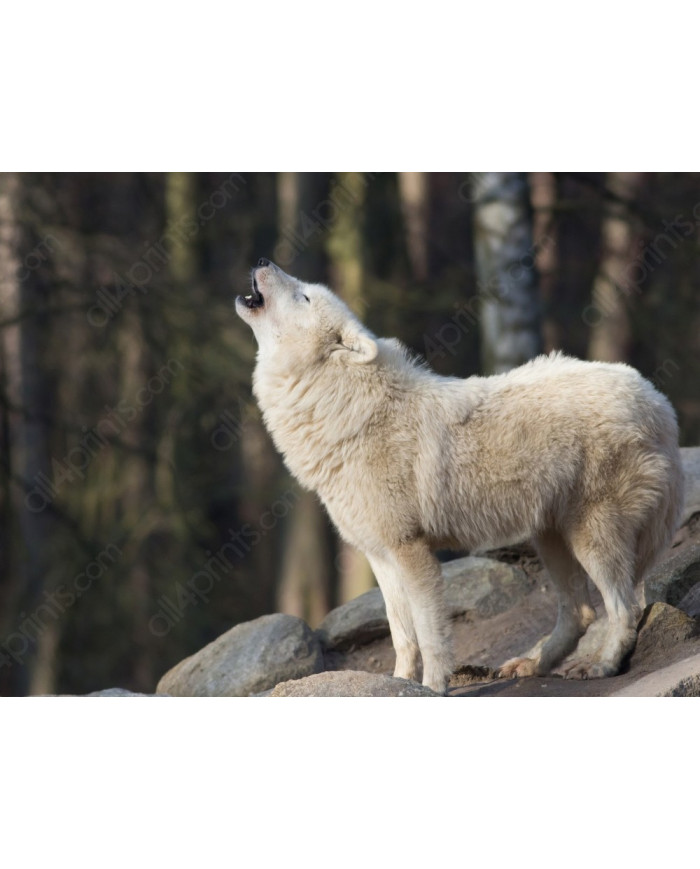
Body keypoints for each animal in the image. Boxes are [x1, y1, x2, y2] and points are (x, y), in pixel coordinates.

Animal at [236, 258, 684, 694]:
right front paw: (398, 682)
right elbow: (402, 635)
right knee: (582, 611)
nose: (262, 260)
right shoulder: (380, 556)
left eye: (304, 296)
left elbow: (430, 634)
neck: (347, 409)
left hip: (591, 538)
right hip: (551, 537)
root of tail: (658, 400)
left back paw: (600, 666)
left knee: (623, 607)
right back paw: (532, 664)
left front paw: (432, 687)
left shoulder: (412, 551)